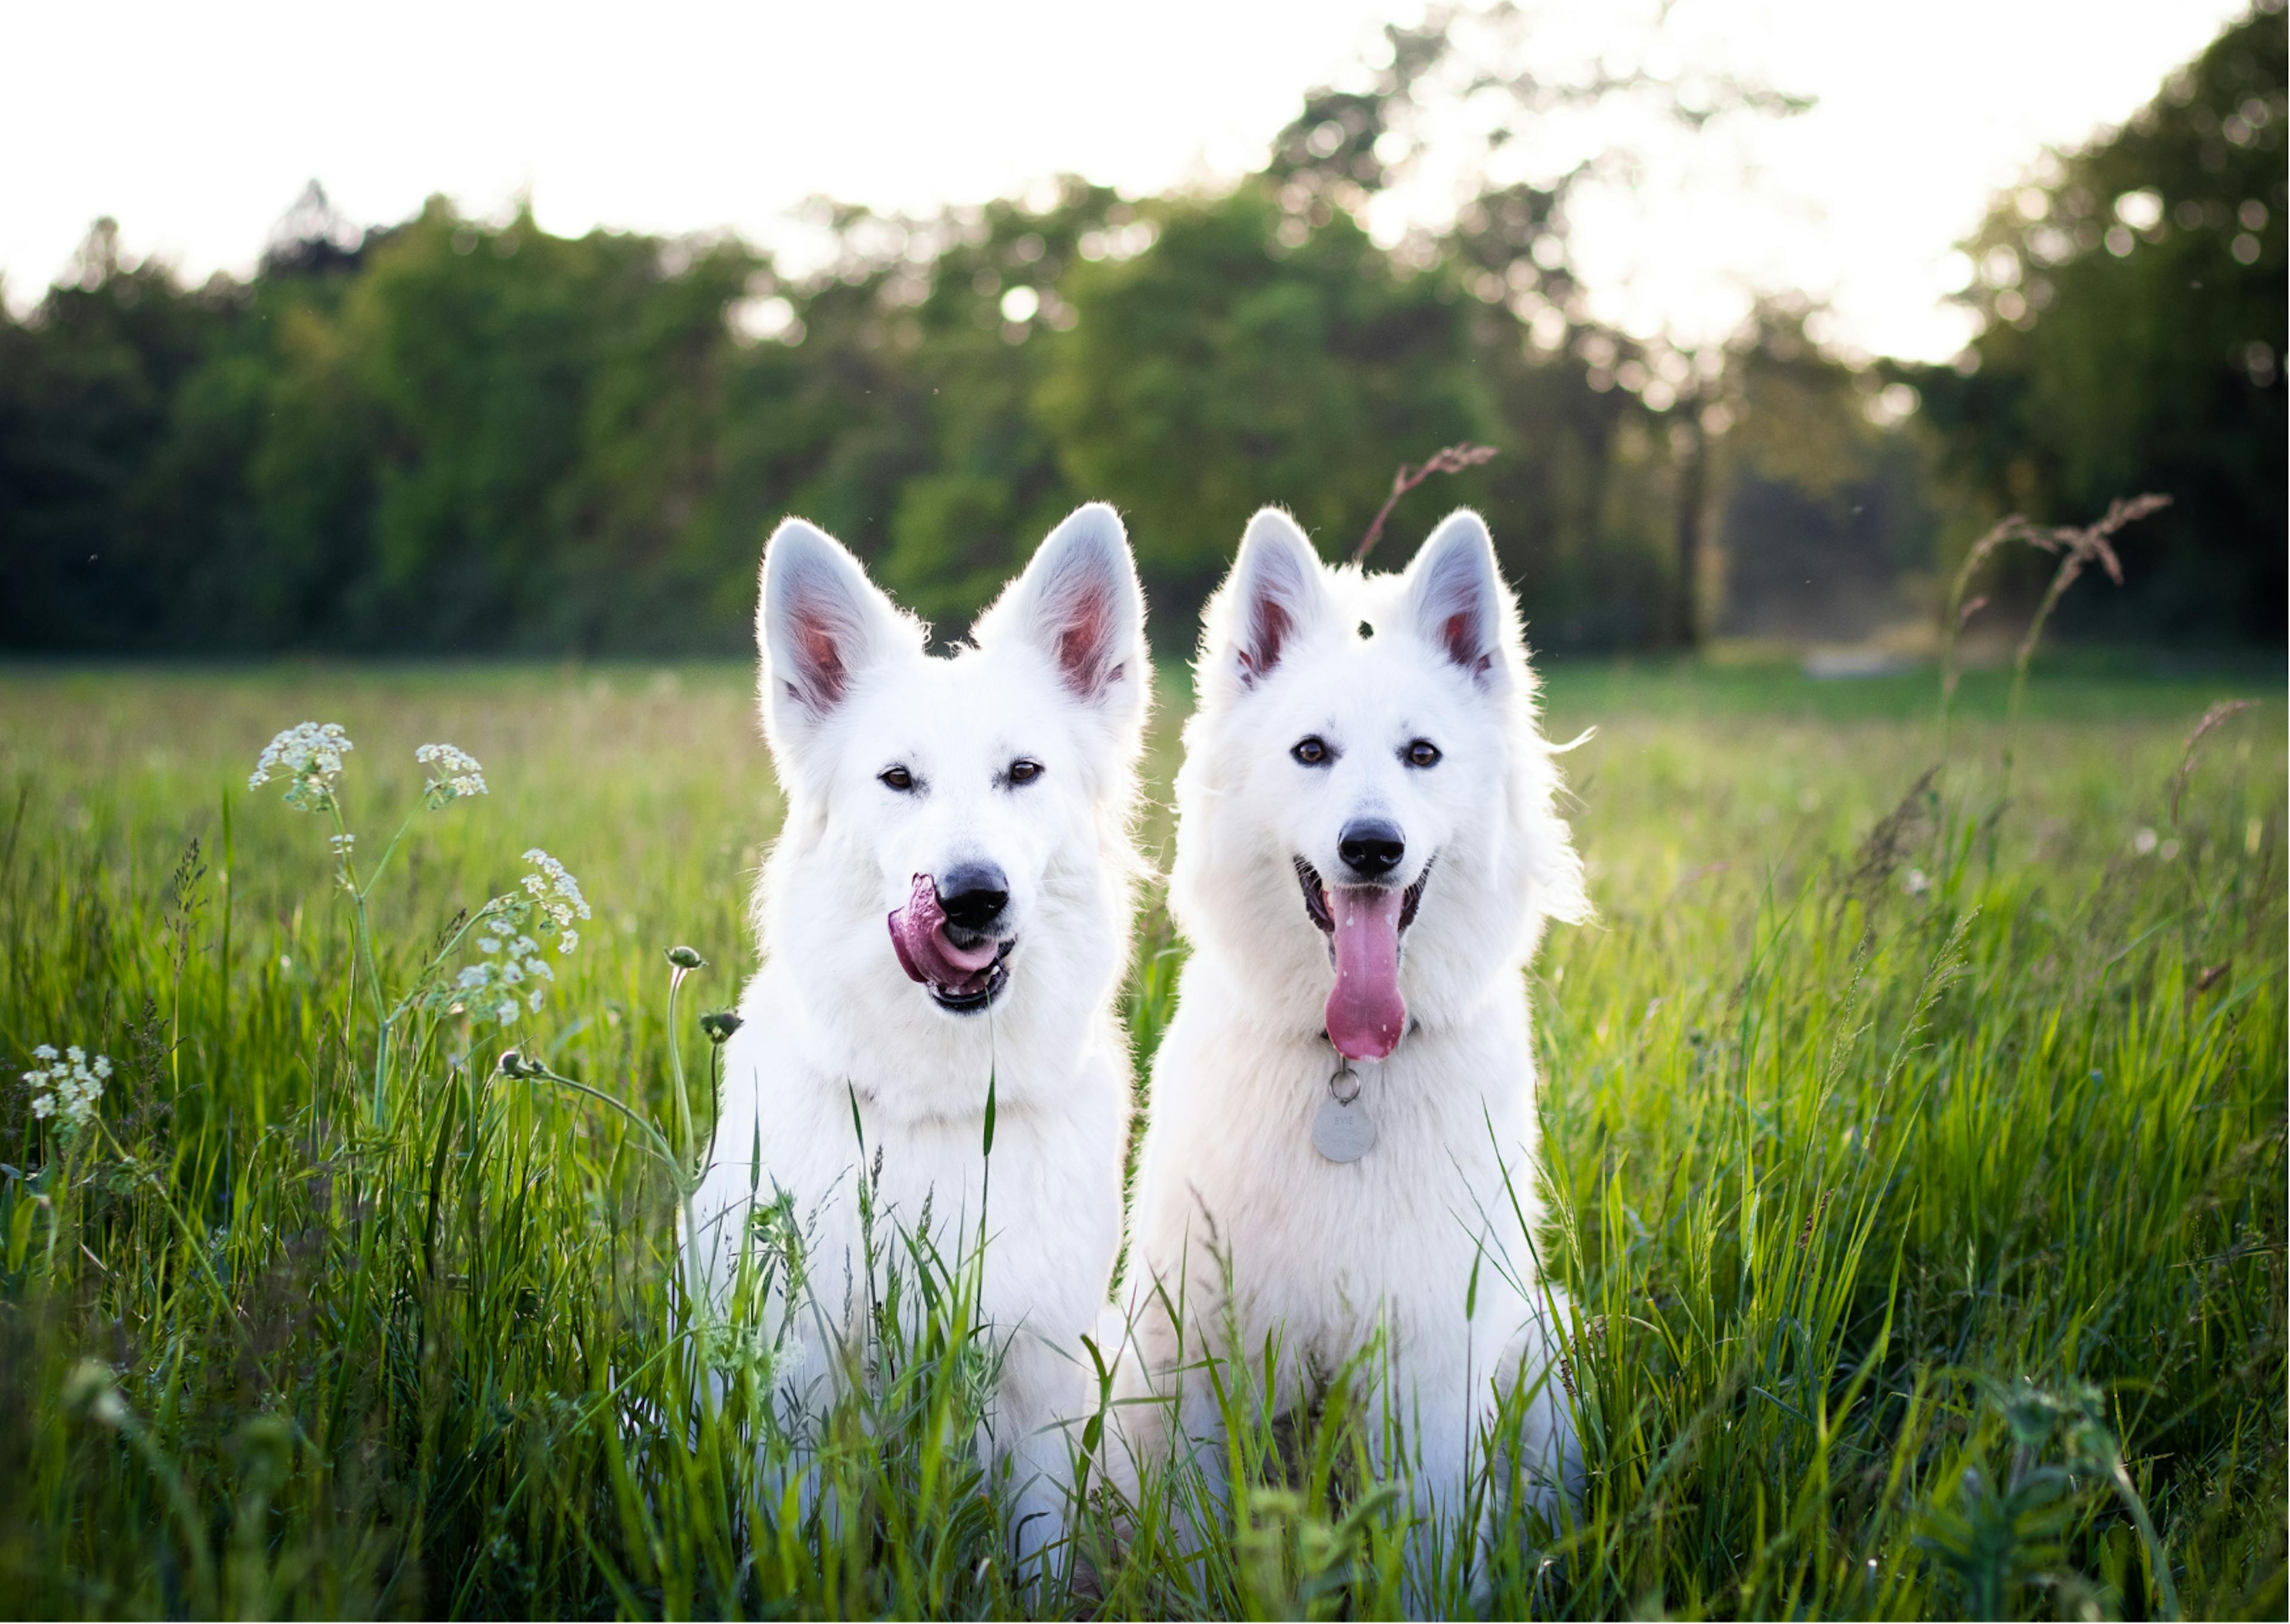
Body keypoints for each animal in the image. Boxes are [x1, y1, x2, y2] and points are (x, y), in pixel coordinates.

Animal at [677, 504, 1145, 1566]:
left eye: (1023, 773)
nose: (972, 897)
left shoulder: (1041, 1389)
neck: (939, 1109)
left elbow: (1036, 1561)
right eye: (899, 780)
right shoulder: (803, 1387)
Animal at [1113, 504, 1593, 1566]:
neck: (1348, 1074)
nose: (1372, 848)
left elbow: (1427, 1549)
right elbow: (1193, 1534)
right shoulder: (1202, 1346)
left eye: (1422, 755)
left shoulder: (1432, 1353)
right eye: (1311, 753)